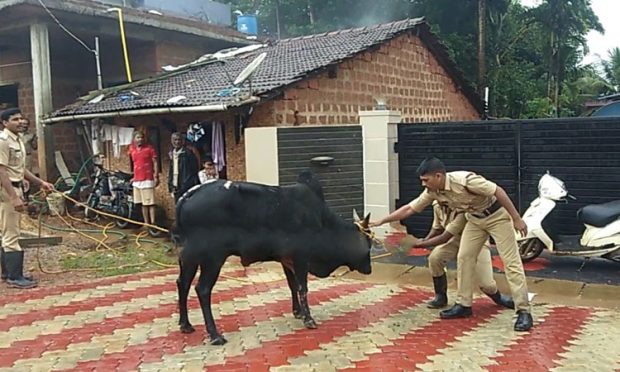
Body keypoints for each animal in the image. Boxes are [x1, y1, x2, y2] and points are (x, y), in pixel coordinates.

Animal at [172, 173, 370, 344]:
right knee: (202, 289)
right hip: (213, 258)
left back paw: (186, 325)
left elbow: (292, 285)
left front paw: (297, 311)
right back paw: (214, 335)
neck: (321, 219)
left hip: (189, 258)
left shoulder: (287, 260)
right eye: (367, 243)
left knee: (183, 283)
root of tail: (188, 195)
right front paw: (309, 319)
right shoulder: (301, 257)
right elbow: (302, 287)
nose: (369, 269)